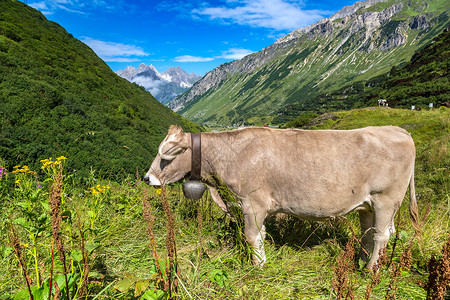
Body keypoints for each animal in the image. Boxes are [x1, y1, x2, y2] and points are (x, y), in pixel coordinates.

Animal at [144, 125, 418, 268]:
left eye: (166, 155)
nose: (148, 178)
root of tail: (397, 130)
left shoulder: (252, 203)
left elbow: (252, 236)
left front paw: (258, 267)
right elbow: (262, 235)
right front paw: (262, 261)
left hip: (386, 199)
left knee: (382, 236)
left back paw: (371, 270)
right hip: (368, 204)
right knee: (369, 233)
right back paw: (360, 260)